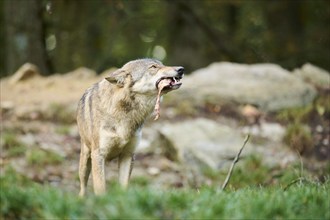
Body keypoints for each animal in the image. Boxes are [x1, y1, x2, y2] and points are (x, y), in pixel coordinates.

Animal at [78, 58, 186, 196]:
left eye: (162, 64)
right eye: (153, 67)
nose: (181, 69)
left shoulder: (128, 155)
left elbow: (123, 187)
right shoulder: (98, 155)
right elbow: (101, 189)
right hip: (86, 162)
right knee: (82, 187)